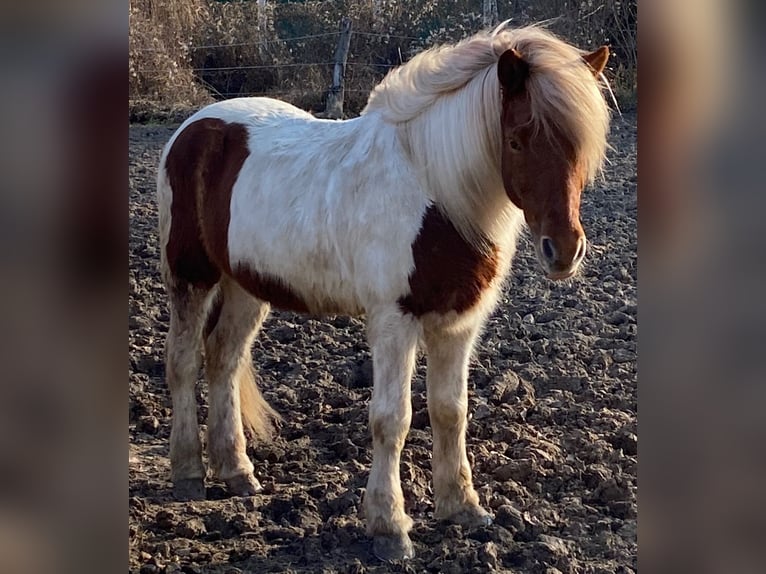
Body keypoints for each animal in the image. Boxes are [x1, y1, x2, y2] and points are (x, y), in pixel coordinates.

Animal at [156, 23, 612, 564]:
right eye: (518, 140)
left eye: (580, 147)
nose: (564, 251)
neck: (435, 193)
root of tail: (192, 127)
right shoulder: (395, 320)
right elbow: (392, 419)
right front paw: (390, 527)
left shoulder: (459, 323)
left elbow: (450, 411)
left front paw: (463, 507)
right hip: (191, 276)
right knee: (183, 363)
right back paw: (188, 474)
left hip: (245, 285)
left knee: (223, 359)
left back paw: (237, 472)